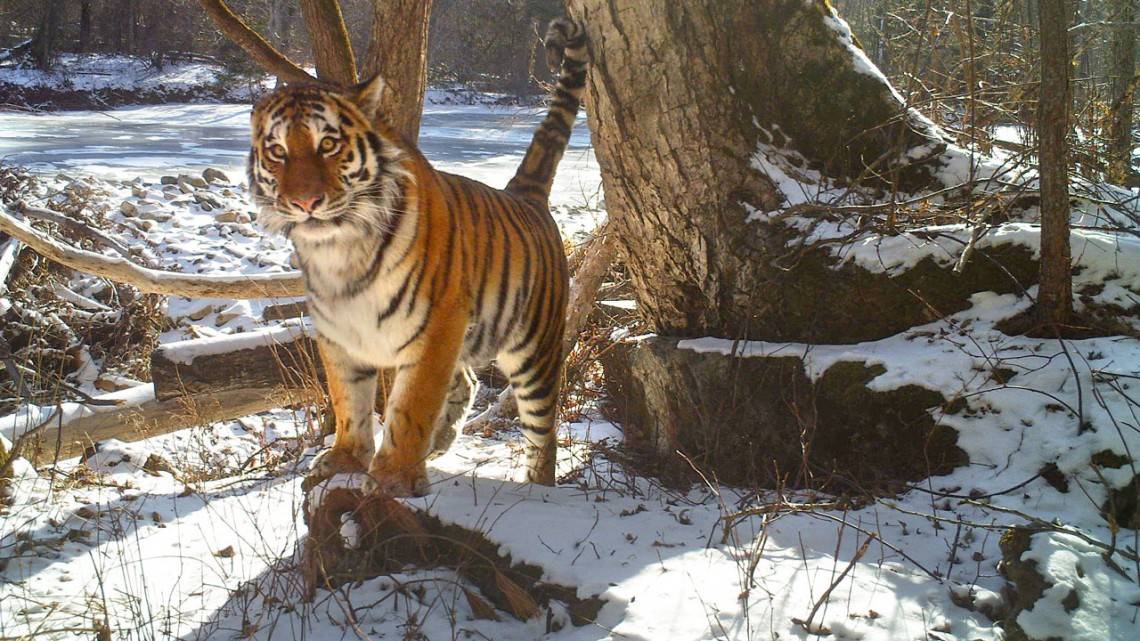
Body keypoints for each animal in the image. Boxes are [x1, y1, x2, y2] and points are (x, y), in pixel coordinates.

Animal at [247, 18, 588, 495]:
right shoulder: (338, 335)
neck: (339, 251)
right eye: (277, 151)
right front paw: (344, 461)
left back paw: (538, 485)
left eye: (328, 144)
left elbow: (410, 407)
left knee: (543, 431)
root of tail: (524, 195)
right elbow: (349, 403)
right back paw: (441, 442)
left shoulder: (435, 327)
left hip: (532, 351)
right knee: (467, 380)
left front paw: (393, 478)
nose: (304, 202)